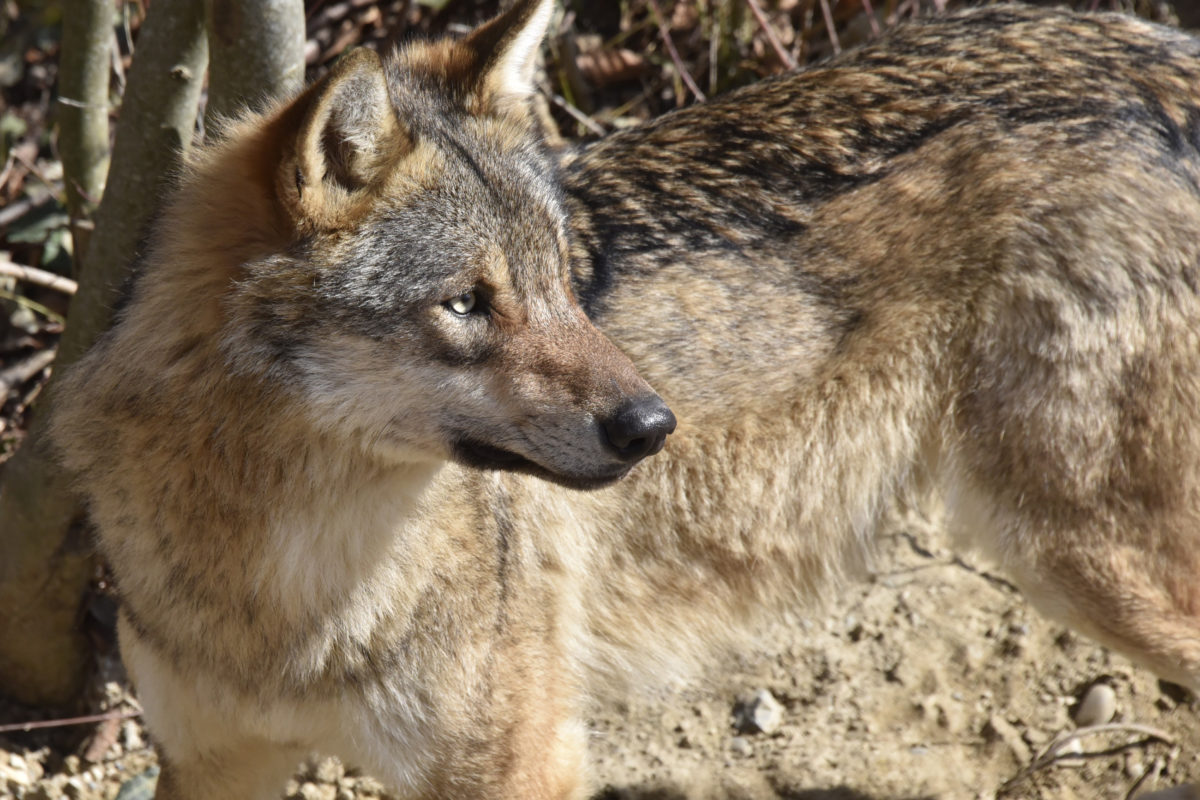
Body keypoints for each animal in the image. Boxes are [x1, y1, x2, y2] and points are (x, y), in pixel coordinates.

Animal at [51, 0, 1200, 796]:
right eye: (466, 303)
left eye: (566, 279)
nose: (654, 425)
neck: (283, 590)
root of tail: (1152, 47)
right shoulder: (214, 759)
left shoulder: (520, 766)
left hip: (1083, 560)